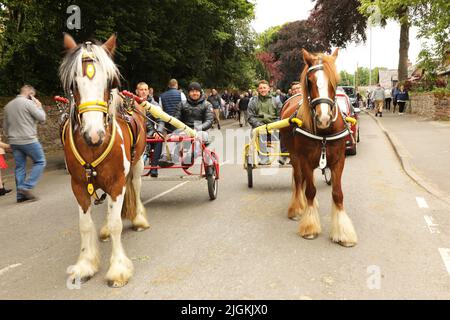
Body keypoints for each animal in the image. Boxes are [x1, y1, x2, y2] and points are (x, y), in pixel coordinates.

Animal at [57, 33, 149, 286]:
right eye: (73, 84)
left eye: (109, 82)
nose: (94, 134)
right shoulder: (78, 185)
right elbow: (85, 225)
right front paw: (85, 264)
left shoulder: (117, 182)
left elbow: (118, 223)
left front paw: (118, 268)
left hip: (138, 163)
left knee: (136, 185)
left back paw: (139, 218)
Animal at [282, 48, 358, 248]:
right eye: (310, 81)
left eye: (335, 81)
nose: (323, 118)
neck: (324, 132)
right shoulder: (305, 160)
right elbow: (309, 190)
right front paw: (309, 227)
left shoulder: (339, 160)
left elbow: (337, 194)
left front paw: (343, 233)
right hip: (294, 157)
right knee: (299, 180)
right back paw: (298, 207)